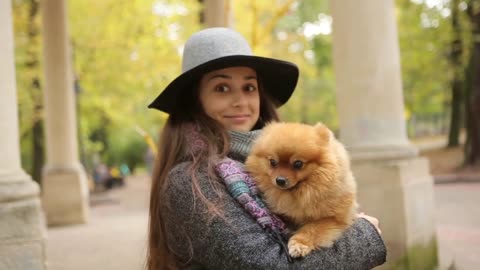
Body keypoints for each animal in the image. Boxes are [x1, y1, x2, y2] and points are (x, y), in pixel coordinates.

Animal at [246, 122, 358, 258]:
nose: (280, 180)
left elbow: (312, 229)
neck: (301, 192)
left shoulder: (333, 218)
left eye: (298, 164)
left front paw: (299, 244)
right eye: (272, 162)